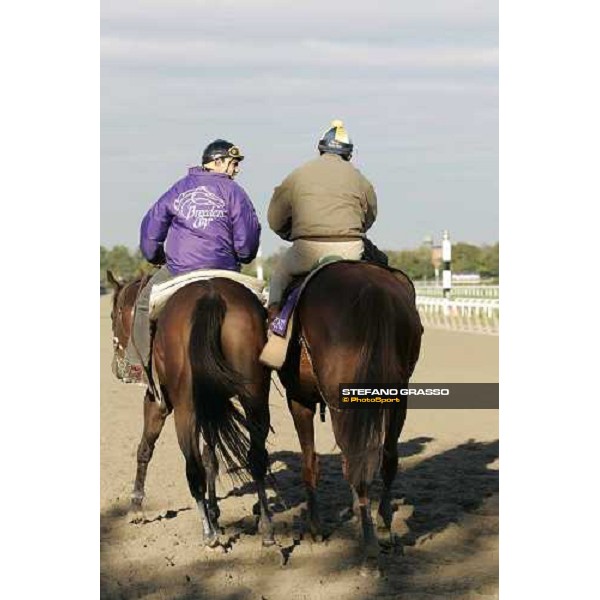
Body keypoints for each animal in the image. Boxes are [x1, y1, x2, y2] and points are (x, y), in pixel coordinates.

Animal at [106, 272, 276, 548]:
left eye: (113, 315)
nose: (116, 368)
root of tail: (212, 295)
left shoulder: (157, 402)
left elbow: (145, 448)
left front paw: (135, 507)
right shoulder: (212, 404)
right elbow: (211, 458)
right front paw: (216, 512)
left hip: (185, 409)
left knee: (193, 468)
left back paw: (209, 535)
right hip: (255, 396)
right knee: (257, 457)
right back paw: (266, 527)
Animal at [280, 262, 424, 568]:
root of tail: (371, 290)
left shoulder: (298, 398)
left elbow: (309, 462)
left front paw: (316, 528)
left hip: (342, 400)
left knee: (356, 462)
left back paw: (369, 547)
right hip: (398, 395)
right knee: (385, 458)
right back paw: (381, 527)